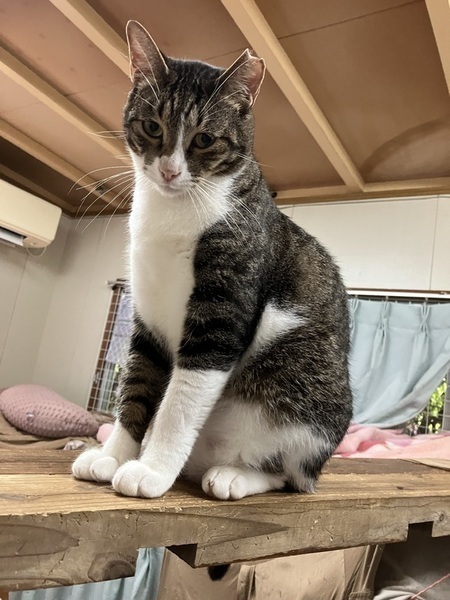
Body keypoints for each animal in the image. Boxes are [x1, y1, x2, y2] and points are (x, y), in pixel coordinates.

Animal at [72, 20, 353, 500]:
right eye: (152, 126)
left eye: (203, 139)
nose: (169, 171)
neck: (174, 211)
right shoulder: (145, 306)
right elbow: (138, 383)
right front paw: (115, 456)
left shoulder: (224, 306)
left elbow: (181, 400)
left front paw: (152, 469)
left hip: (304, 391)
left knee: (289, 474)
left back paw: (236, 475)